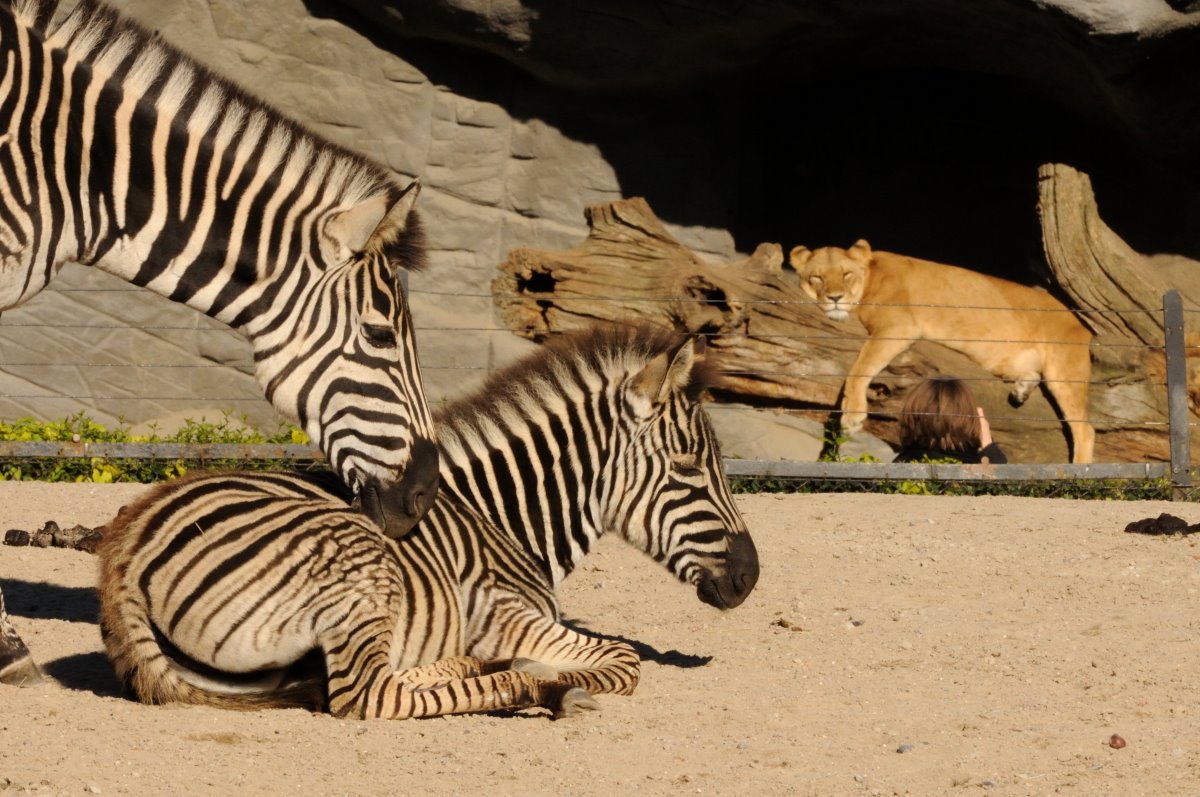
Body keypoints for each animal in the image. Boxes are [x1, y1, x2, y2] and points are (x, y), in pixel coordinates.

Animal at [96, 324, 761, 719]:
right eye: (688, 469)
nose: (751, 577)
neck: (505, 517)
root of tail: (125, 550)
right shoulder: (505, 613)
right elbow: (625, 662)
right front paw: (556, 675)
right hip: (359, 564)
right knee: (367, 695)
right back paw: (534, 685)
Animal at [788, 239, 1095, 463]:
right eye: (816, 278)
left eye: (846, 274)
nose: (835, 298)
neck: (870, 278)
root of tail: (1076, 318)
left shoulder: (898, 325)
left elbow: (859, 368)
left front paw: (852, 417)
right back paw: (1022, 388)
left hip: (1065, 372)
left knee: (1085, 429)